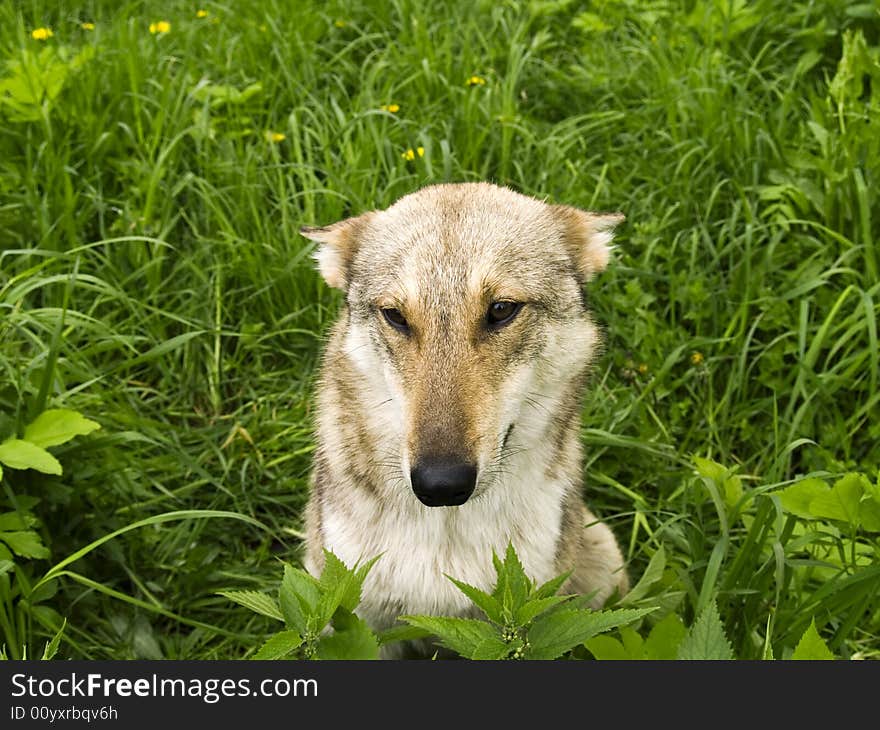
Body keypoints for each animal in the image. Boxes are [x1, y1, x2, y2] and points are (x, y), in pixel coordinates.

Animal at [300, 182, 624, 648]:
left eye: (502, 310)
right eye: (395, 316)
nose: (440, 485)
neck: (446, 532)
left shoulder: (525, 622)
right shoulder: (350, 624)